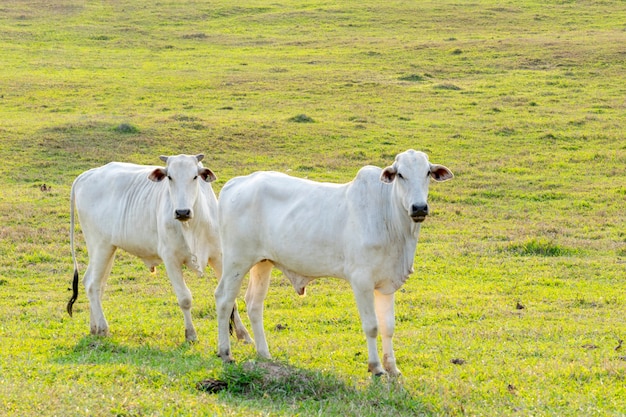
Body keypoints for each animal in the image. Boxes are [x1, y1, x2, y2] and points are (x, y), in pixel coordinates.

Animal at [67, 154, 251, 342]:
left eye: (195, 176)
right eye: (170, 177)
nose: (182, 212)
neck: (193, 226)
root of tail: (87, 175)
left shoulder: (219, 257)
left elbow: (230, 297)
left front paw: (244, 335)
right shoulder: (171, 259)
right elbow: (185, 299)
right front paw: (191, 334)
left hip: (108, 249)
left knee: (95, 283)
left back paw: (94, 328)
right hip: (100, 246)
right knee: (92, 285)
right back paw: (103, 328)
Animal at [212, 150, 450, 376]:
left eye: (427, 173)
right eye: (400, 174)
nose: (419, 207)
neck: (390, 218)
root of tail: (237, 182)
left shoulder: (386, 283)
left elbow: (388, 327)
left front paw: (392, 367)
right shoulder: (361, 281)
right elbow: (372, 326)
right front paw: (376, 367)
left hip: (262, 263)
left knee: (254, 303)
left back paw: (264, 354)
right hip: (236, 261)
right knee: (224, 299)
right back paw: (225, 353)